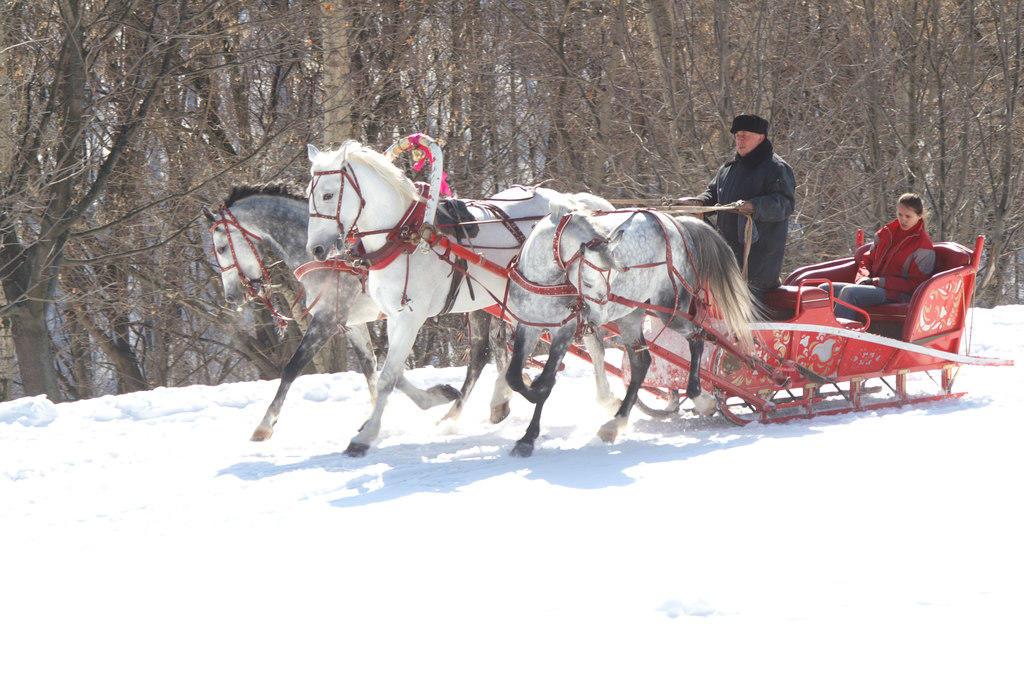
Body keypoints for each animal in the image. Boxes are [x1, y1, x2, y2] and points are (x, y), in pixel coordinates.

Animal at [305, 140, 614, 454]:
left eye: (328, 194)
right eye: (309, 195)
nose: (315, 249)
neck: (404, 236)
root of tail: (565, 199)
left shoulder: (410, 319)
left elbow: (388, 377)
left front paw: (365, 436)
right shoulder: (393, 316)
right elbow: (392, 372)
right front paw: (436, 396)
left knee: (590, 342)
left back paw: (604, 399)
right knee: (490, 352)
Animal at [501, 201, 753, 456]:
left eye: (611, 276)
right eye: (588, 282)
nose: (593, 316)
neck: (544, 281)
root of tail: (677, 223)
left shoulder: (565, 331)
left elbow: (546, 382)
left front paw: (528, 435)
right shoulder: (528, 324)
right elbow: (514, 376)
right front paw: (522, 415)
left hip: (670, 310)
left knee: (697, 339)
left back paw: (702, 398)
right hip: (630, 315)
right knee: (642, 363)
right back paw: (615, 423)